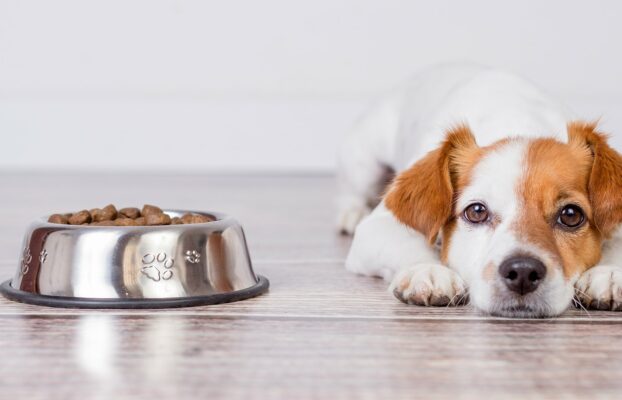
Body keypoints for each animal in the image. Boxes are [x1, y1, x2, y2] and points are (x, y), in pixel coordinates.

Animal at [338, 64, 622, 318]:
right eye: (476, 211)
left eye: (571, 215)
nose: (522, 272)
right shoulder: (378, 226)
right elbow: (409, 242)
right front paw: (427, 269)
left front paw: (608, 272)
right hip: (365, 162)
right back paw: (350, 213)